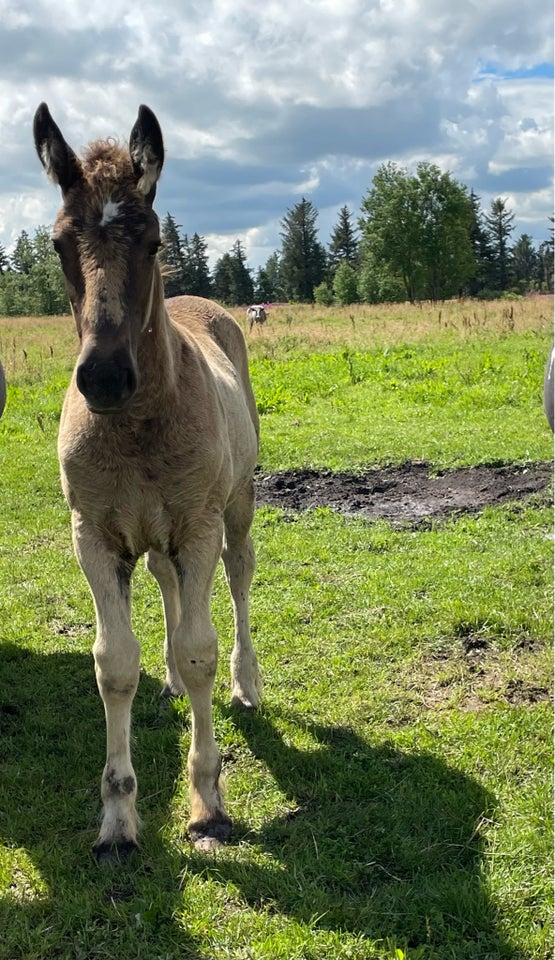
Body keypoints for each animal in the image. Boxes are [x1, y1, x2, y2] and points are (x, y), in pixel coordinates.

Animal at [33, 101, 262, 860]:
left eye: (156, 240)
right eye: (57, 243)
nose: (104, 376)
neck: (134, 427)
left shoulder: (197, 528)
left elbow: (197, 650)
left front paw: (208, 805)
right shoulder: (95, 539)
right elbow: (115, 663)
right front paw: (117, 820)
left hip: (236, 507)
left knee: (239, 576)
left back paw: (248, 683)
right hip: (155, 539)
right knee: (165, 588)